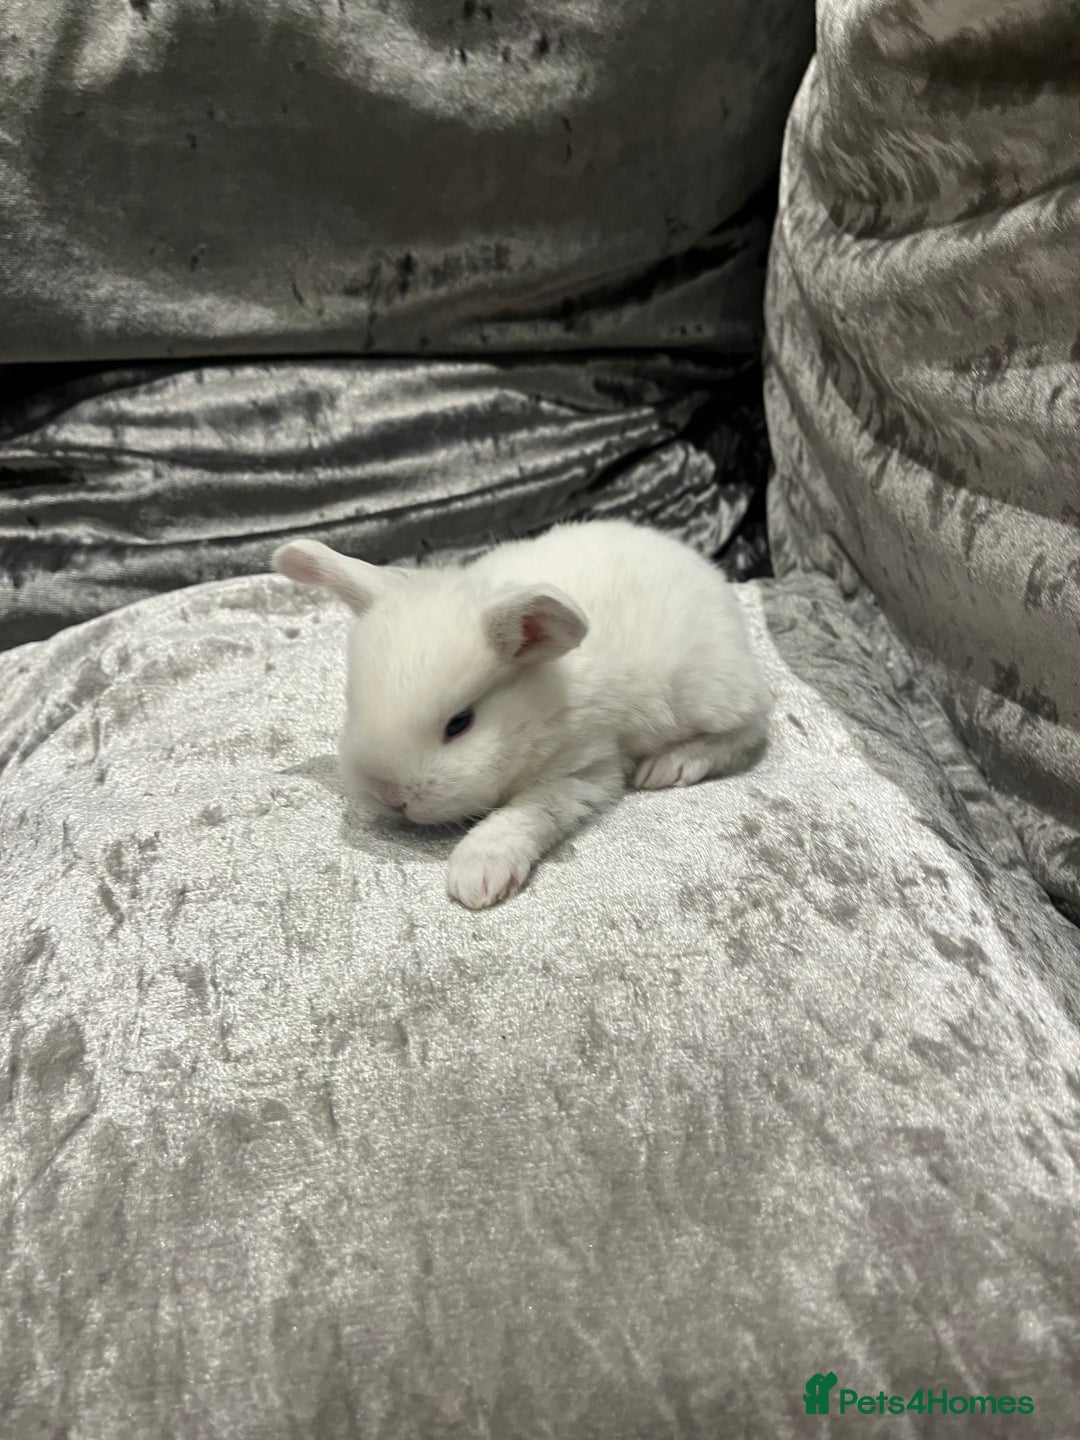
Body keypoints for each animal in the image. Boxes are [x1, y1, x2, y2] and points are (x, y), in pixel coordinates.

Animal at [272, 519, 772, 909]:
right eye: (352, 700)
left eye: (460, 723)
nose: (392, 798)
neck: (537, 701)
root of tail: (710, 574)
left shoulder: (584, 769)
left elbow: (525, 813)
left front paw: (477, 873)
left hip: (707, 693)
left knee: (747, 731)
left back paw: (670, 765)